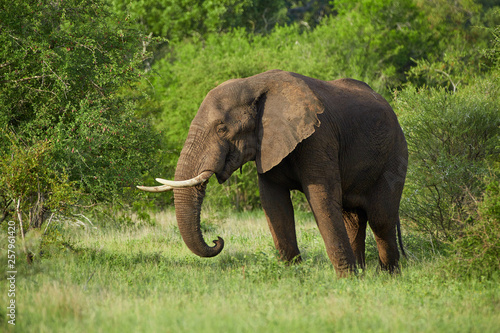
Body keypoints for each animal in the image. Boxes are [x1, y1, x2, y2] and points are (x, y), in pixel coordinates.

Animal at [139, 68, 408, 276]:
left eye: (222, 129)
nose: (217, 240)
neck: (253, 83)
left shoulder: (318, 137)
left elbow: (321, 201)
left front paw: (346, 280)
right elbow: (274, 203)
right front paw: (293, 276)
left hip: (395, 155)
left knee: (381, 218)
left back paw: (388, 277)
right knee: (353, 220)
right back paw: (365, 274)